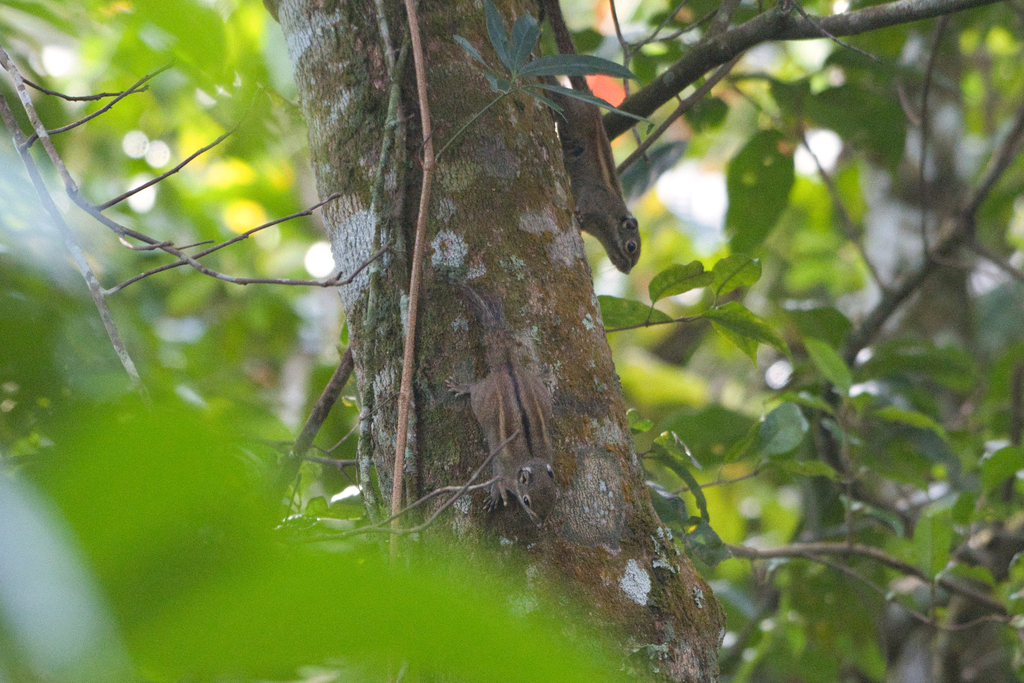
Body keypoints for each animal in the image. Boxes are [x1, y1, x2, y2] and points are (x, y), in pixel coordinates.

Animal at [448, 284, 559, 525]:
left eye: (555, 498)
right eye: (526, 501)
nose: (540, 523)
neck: (531, 460)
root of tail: (507, 368)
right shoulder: (503, 468)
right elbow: (496, 475)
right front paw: (497, 493)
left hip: (537, 390)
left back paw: (544, 374)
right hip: (481, 398)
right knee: (475, 389)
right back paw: (462, 386)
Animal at [539, 0, 640, 274]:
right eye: (631, 247)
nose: (627, 270)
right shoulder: (595, 199)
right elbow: (584, 204)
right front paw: (579, 215)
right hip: (572, 111)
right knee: (556, 91)